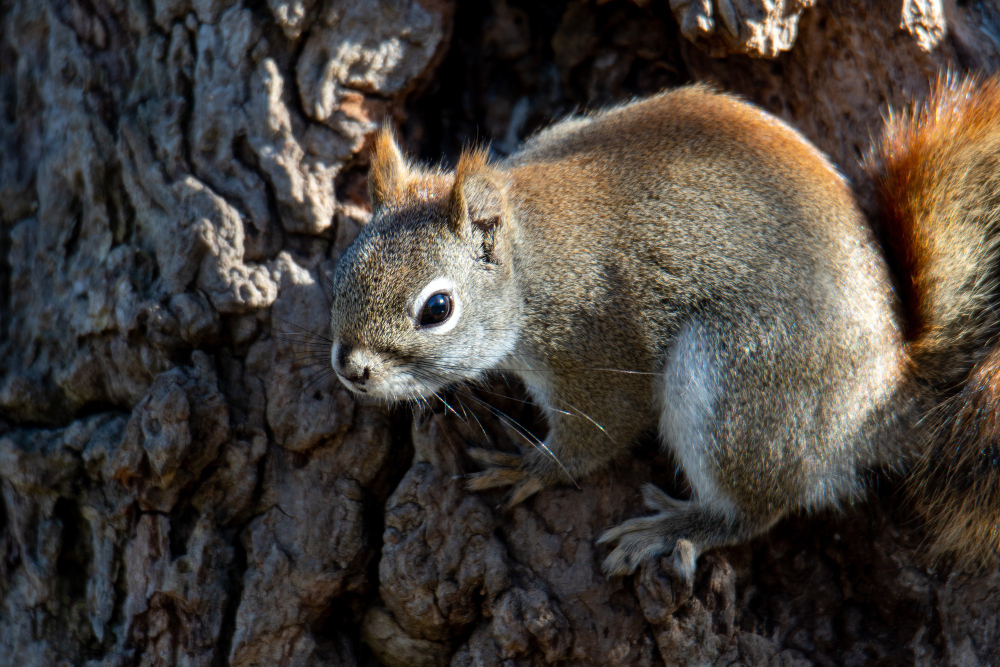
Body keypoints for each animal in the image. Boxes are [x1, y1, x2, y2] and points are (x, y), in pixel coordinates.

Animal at [326, 75, 1000, 580]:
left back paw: (672, 529)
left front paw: (533, 468)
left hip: (740, 388)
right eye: (342, 269)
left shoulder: (597, 349)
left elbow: (600, 432)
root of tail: (884, 400)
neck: (533, 262)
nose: (352, 370)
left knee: (756, 509)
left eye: (437, 308)